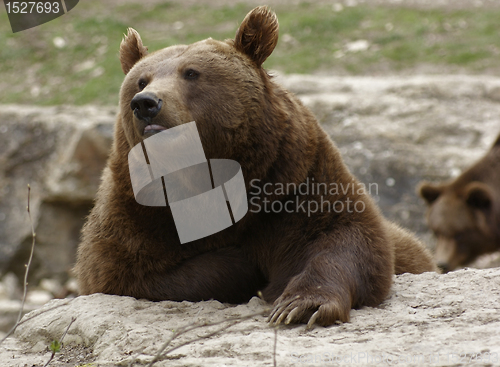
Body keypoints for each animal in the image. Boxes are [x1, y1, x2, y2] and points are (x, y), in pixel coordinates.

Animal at [75, 5, 438, 328]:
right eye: (141, 80)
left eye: (191, 73)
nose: (146, 104)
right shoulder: (136, 212)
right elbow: (126, 273)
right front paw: (246, 266)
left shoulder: (294, 177)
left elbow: (346, 236)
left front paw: (301, 305)